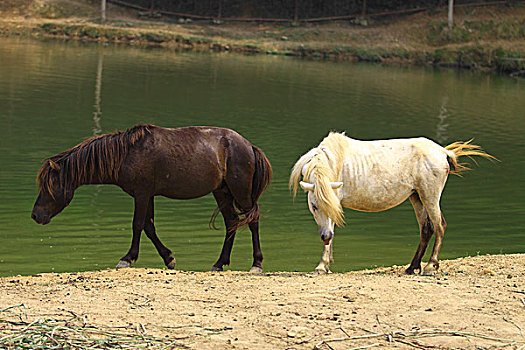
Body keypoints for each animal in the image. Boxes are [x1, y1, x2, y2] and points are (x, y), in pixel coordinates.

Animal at [30, 124, 272, 272]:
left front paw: (127, 258)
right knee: (231, 222)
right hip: (221, 192)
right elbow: (149, 226)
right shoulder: (149, 195)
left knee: (252, 221)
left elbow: (138, 225)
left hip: (239, 191)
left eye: (50, 186)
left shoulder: (142, 193)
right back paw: (219, 263)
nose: (35, 215)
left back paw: (256, 264)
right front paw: (169, 258)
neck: (127, 153)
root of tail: (248, 145)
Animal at [288, 133, 494, 274]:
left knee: (439, 225)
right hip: (416, 197)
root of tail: (443, 152)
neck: (335, 162)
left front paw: (322, 265)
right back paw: (412, 267)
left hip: (430, 196)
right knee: (426, 229)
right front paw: (326, 264)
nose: (325, 236)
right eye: (314, 206)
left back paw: (430, 266)